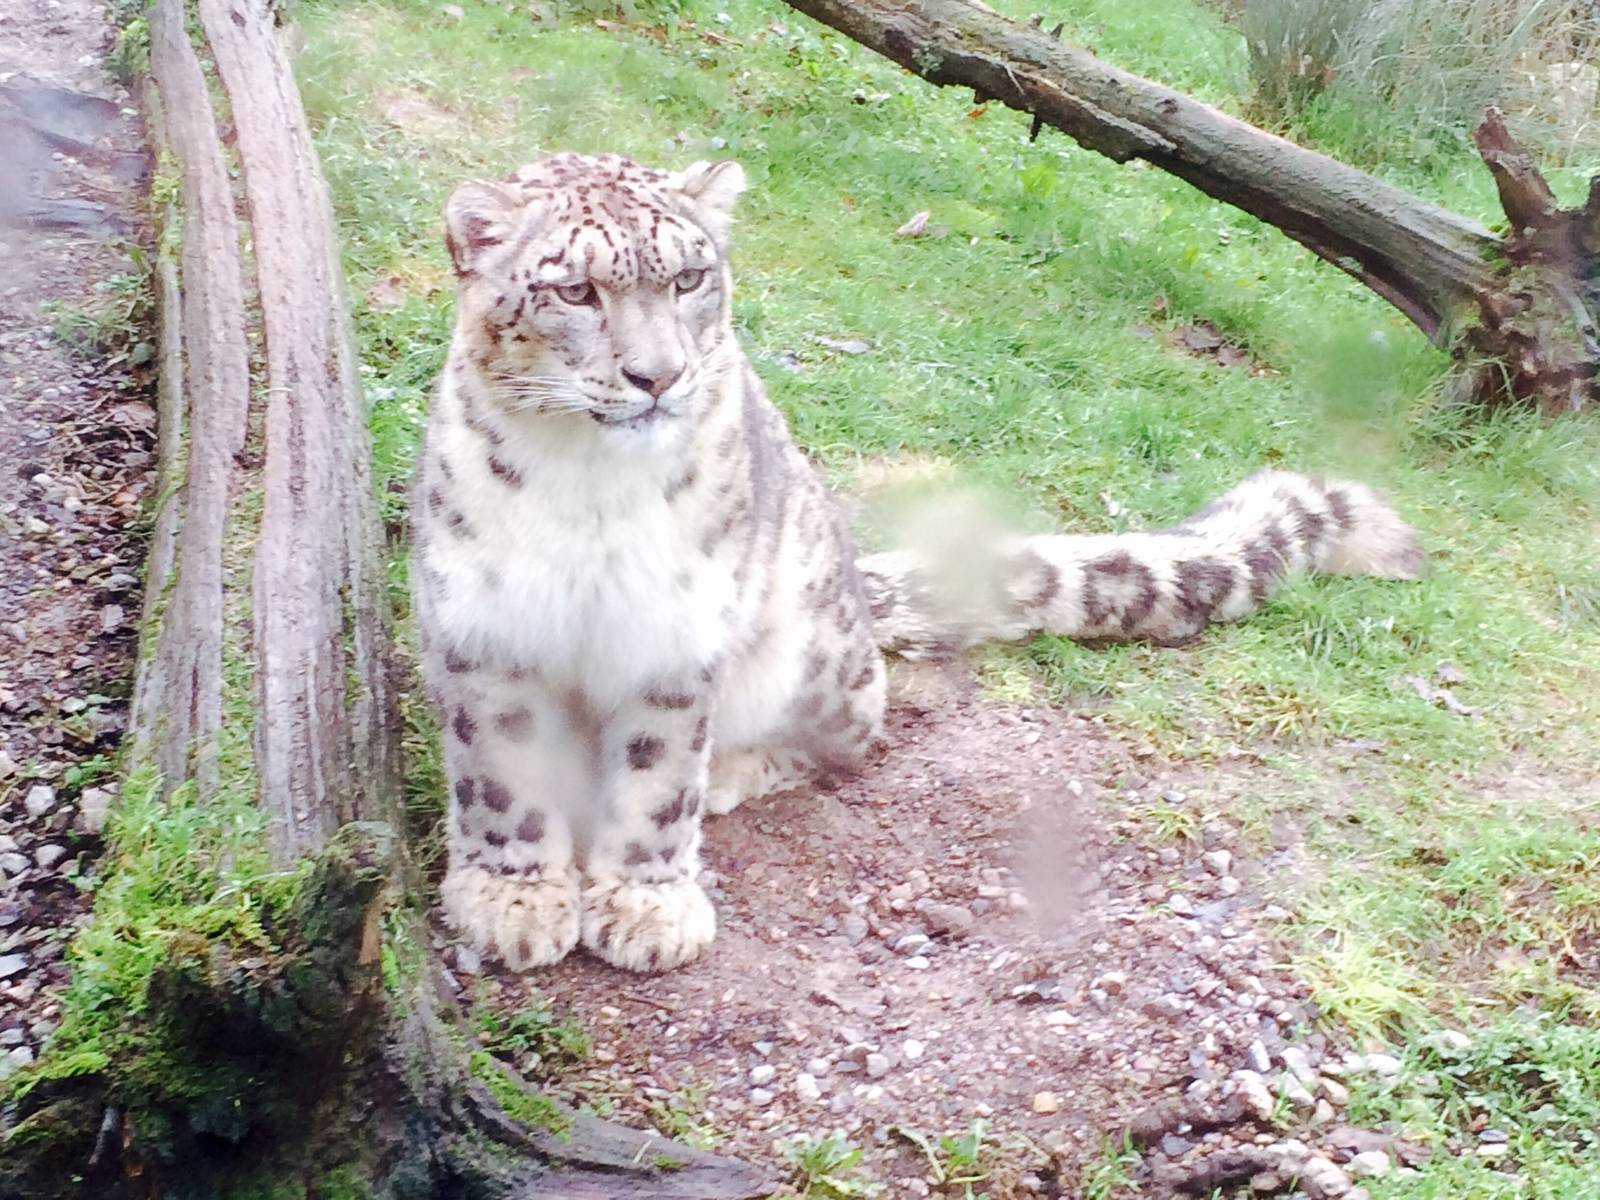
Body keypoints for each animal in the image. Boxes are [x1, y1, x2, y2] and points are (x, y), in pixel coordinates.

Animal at [411, 151, 1424, 974]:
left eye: (690, 276)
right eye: (575, 293)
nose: (657, 377)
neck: (586, 487)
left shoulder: (673, 635)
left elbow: (656, 786)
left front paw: (648, 908)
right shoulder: (486, 632)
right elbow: (502, 778)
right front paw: (512, 899)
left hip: (809, 649)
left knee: (851, 736)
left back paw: (736, 772)